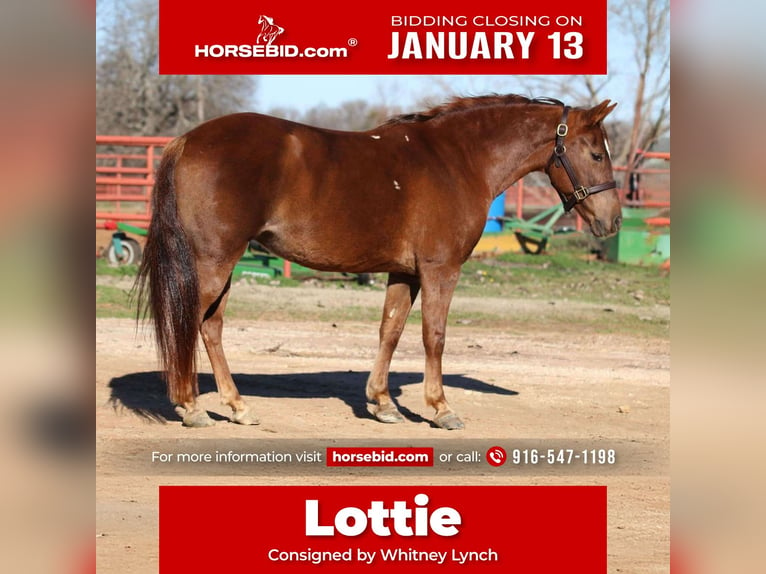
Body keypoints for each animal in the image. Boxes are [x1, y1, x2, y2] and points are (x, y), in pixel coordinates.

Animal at [135, 94, 620, 430]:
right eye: (596, 153)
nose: (613, 221)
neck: (456, 161)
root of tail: (186, 140)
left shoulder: (404, 272)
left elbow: (391, 331)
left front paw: (383, 404)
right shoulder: (440, 269)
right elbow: (434, 337)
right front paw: (440, 408)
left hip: (220, 264)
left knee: (210, 326)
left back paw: (236, 406)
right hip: (214, 260)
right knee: (191, 321)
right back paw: (191, 406)